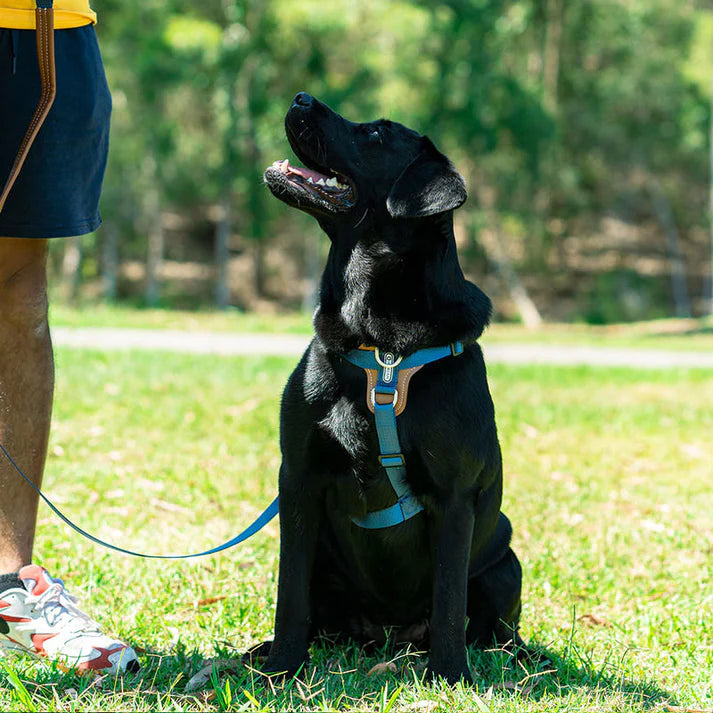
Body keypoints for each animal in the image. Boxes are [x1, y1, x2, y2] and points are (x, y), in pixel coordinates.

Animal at [258, 92, 520, 680]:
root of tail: (387, 636)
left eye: (375, 134)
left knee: (496, 628)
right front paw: (283, 666)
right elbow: (290, 595)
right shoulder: (298, 478)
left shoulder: (454, 498)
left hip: (506, 562)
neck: (383, 348)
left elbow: (448, 602)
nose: (300, 97)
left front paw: (451, 676)